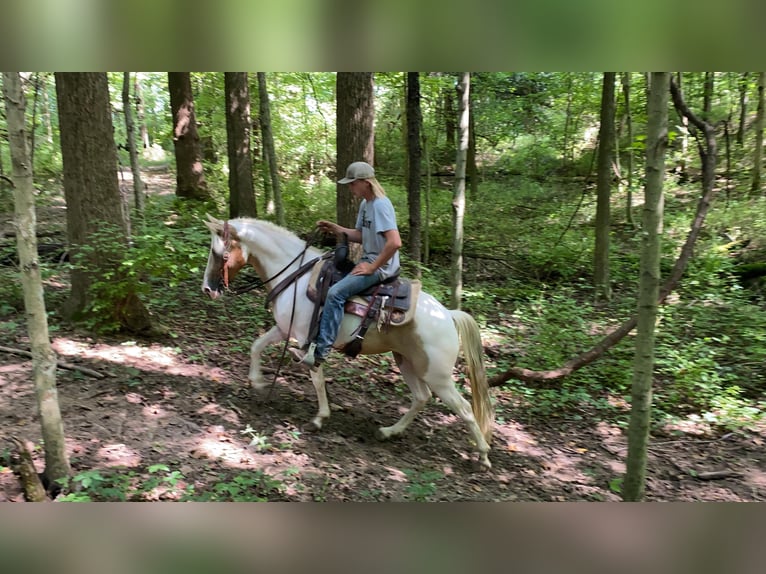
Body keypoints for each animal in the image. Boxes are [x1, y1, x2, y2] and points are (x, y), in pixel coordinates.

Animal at [201, 215, 496, 468]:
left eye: (218, 253)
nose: (207, 289)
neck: (295, 276)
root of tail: (448, 315)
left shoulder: (308, 339)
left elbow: (316, 376)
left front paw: (319, 418)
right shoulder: (285, 329)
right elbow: (257, 346)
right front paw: (258, 382)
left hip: (437, 375)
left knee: (464, 408)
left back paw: (483, 455)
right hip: (407, 362)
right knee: (421, 398)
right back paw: (389, 432)